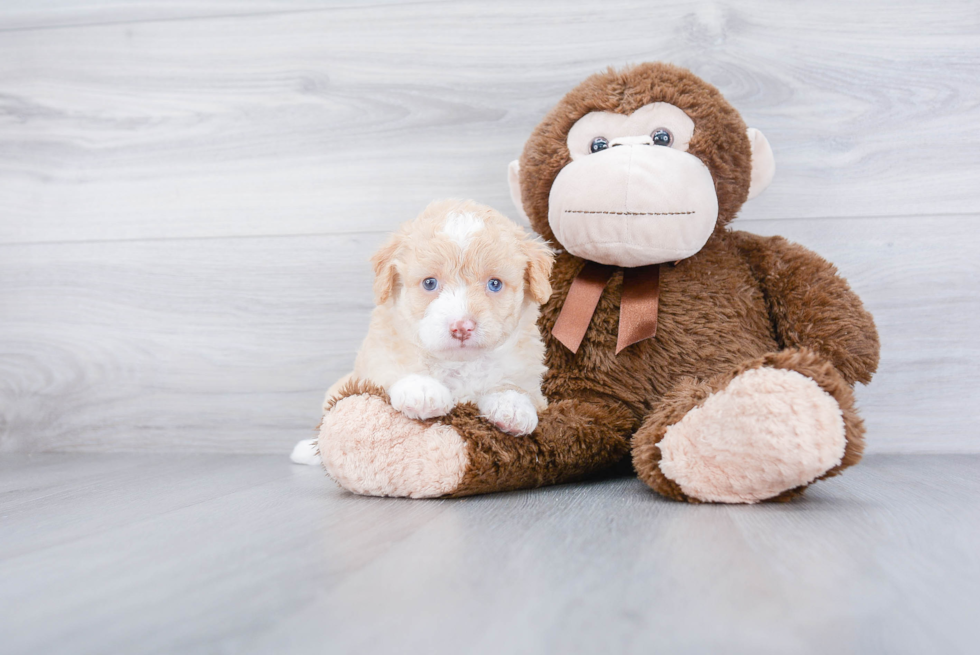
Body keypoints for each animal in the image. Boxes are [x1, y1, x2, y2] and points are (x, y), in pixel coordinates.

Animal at [290, 200, 552, 466]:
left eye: (495, 284)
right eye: (429, 283)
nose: (462, 326)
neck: (461, 364)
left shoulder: (528, 375)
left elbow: (516, 386)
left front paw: (513, 405)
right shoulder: (376, 361)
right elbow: (393, 372)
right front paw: (423, 390)